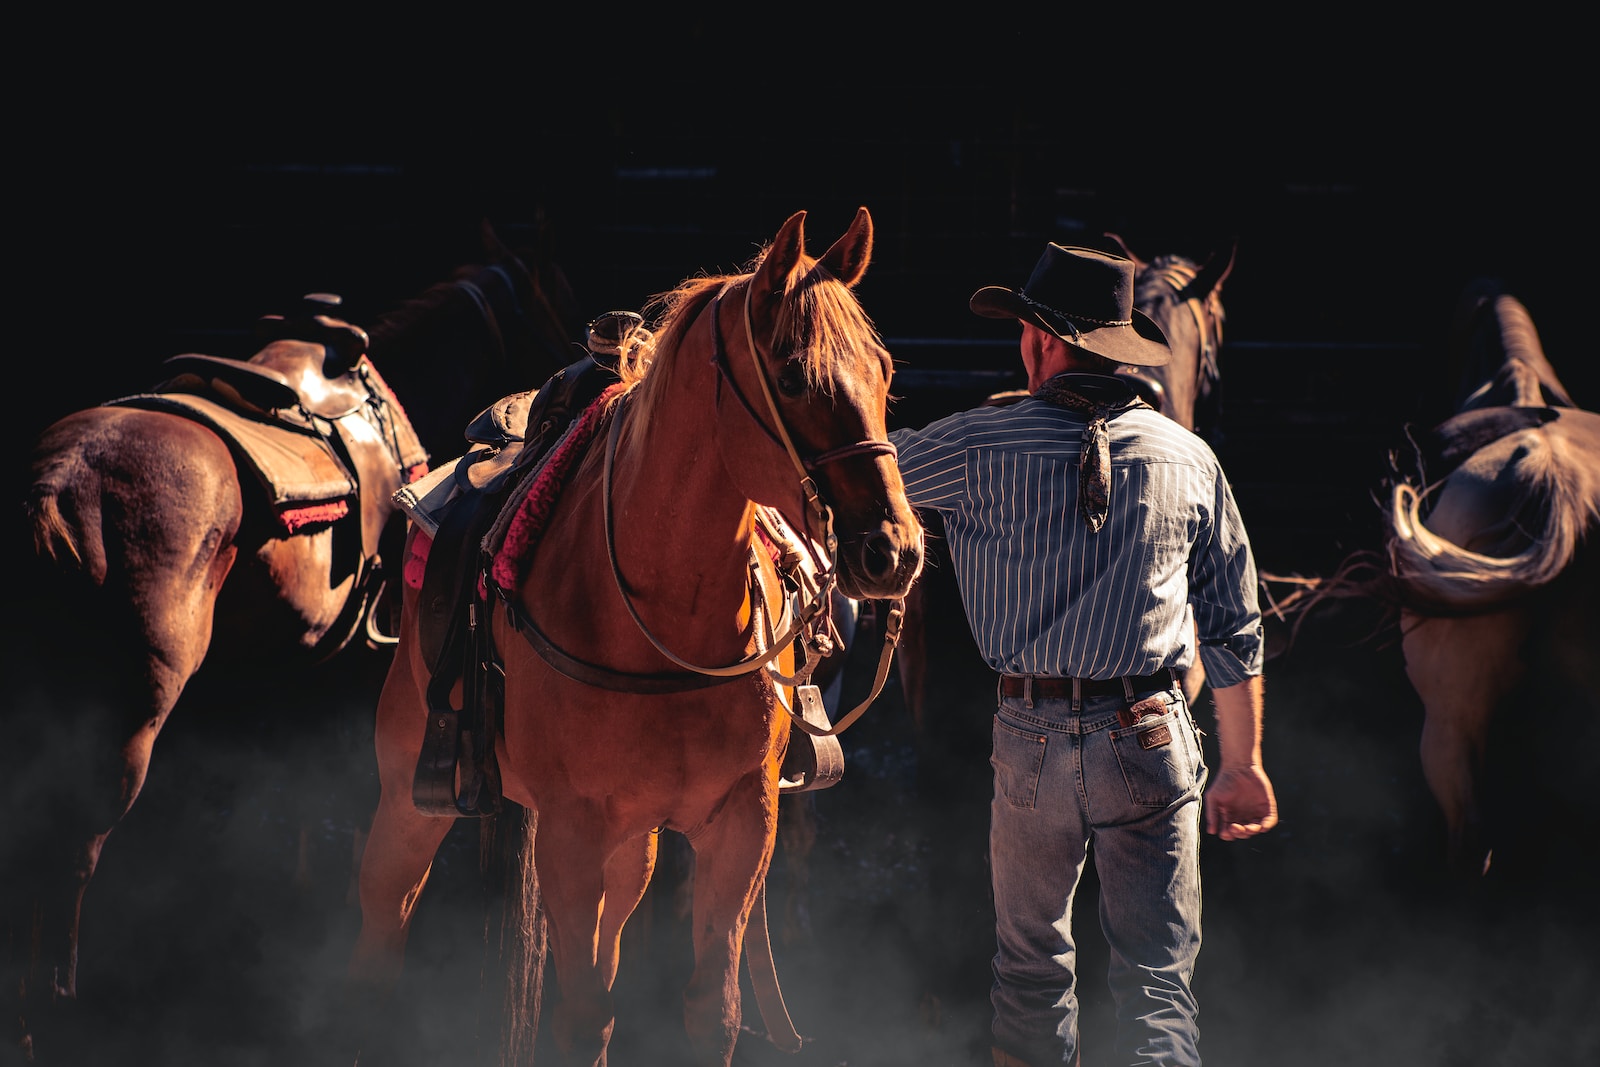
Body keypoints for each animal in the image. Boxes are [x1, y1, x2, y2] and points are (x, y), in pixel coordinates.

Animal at [350, 207, 928, 1067]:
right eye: (793, 376)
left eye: (883, 371)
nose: (894, 550)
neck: (663, 615)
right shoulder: (571, 832)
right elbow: (583, 1014)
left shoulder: (741, 822)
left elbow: (711, 1006)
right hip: (410, 796)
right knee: (381, 934)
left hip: (632, 849)